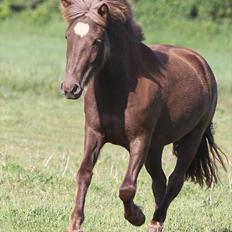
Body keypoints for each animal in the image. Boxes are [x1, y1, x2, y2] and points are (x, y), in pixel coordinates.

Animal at [59, 0, 225, 232]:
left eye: (97, 41)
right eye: (68, 36)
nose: (70, 88)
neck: (118, 88)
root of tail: (201, 64)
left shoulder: (140, 139)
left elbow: (127, 187)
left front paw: (137, 216)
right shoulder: (94, 133)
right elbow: (84, 173)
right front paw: (75, 224)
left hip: (191, 138)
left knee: (175, 180)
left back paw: (155, 222)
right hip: (156, 147)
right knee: (160, 181)